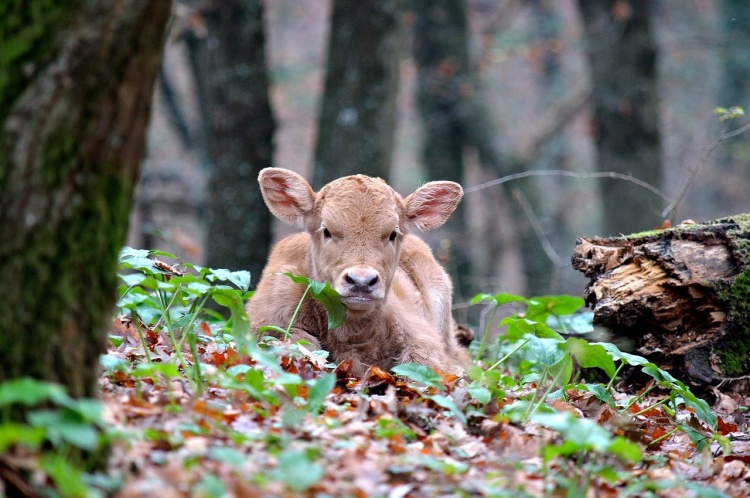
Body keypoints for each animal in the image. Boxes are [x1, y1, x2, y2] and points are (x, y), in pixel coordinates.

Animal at [247, 169, 470, 376]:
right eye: (326, 230)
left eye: (393, 234)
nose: (361, 281)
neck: (352, 335)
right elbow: (297, 341)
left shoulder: (423, 338)